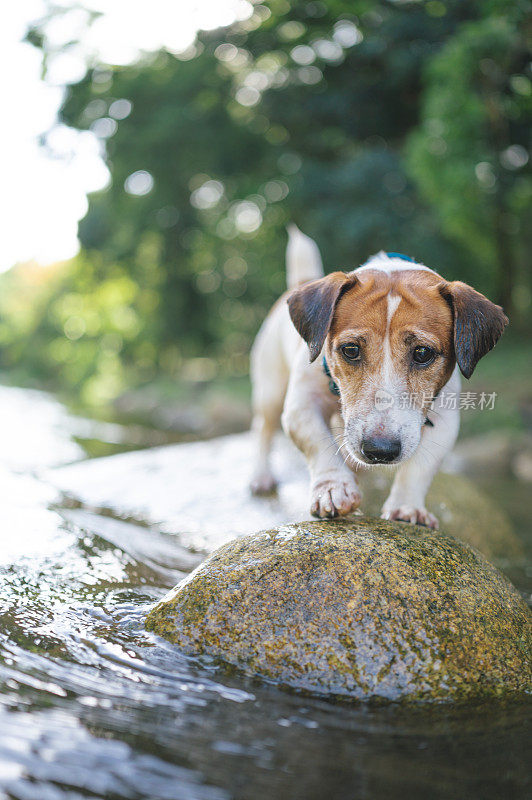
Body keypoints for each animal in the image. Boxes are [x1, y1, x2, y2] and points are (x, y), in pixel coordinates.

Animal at [249, 225, 508, 528]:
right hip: (270, 391)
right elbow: (318, 443)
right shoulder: (301, 406)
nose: (379, 451)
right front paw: (333, 488)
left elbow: (420, 467)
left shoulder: (445, 419)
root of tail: (303, 282)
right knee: (262, 429)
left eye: (423, 352)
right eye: (350, 350)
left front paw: (407, 507)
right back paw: (261, 475)